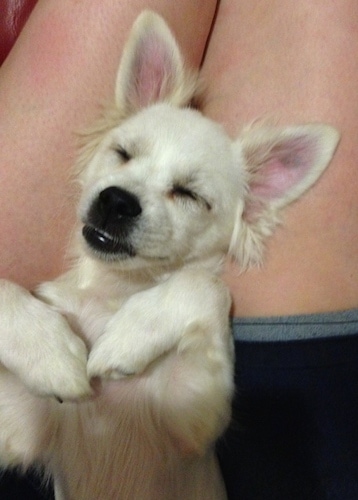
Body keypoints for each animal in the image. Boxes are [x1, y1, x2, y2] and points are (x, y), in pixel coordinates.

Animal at [0, 11, 338, 500]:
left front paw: (129, 335)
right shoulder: (18, 425)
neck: (116, 289)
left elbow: (205, 284)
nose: (116, 200)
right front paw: (49, 351)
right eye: (122, 153)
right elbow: (5, 287)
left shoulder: (196, 418)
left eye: (189, 194)